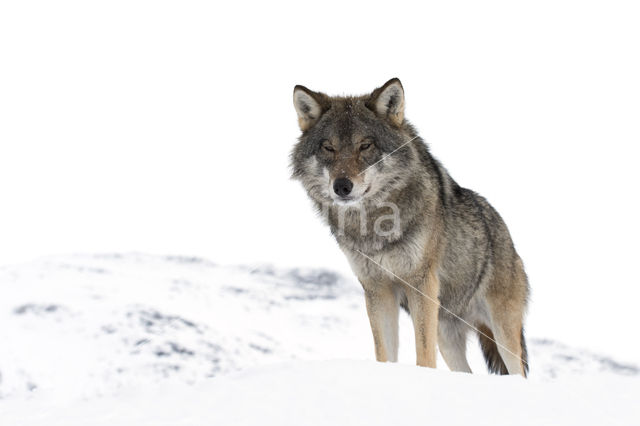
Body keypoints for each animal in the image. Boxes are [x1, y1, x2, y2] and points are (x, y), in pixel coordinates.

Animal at [292, 79, 528, 376]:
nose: (342, 186)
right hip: (447, 336)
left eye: (365, 145)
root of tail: (507, 236)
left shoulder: (421, 284)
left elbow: (423, 355)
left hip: (502, 333)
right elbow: (384, 352)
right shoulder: (376, 288)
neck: (375, 223)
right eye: (329, 148)